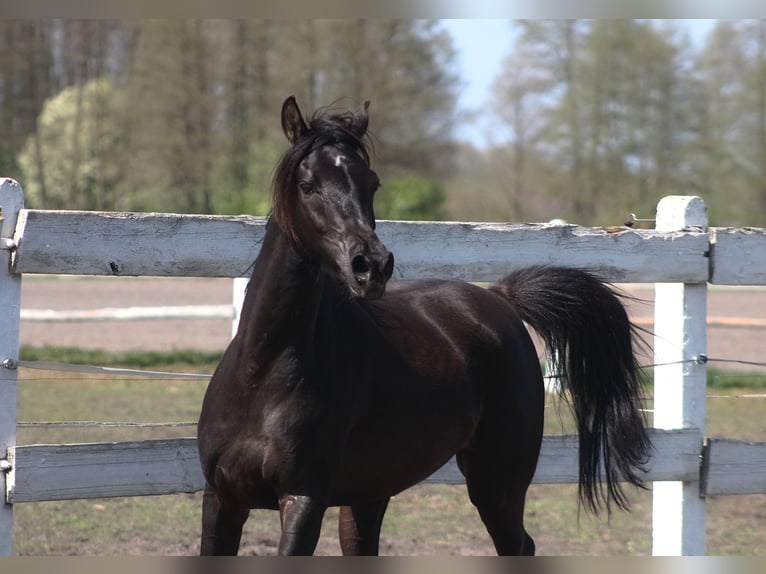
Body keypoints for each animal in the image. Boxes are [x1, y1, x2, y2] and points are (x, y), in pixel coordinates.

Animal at [196, 96, 651, 556]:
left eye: (372, 183)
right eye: (307, 185)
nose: (371, 267)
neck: (263, 374)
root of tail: (499, 298)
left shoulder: (304, 500)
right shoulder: (221, 499)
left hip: (496, 483)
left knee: (519, 544)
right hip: (371, 493)